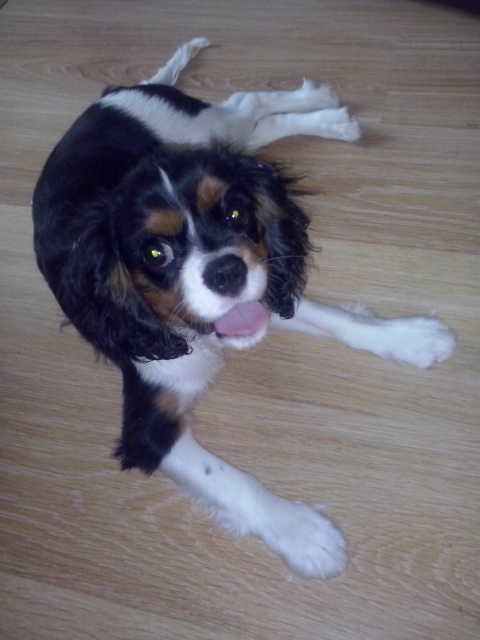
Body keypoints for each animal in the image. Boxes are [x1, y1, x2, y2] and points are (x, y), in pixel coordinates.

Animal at [32, 39, 456, 579]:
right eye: (155, 253)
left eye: (236, 213)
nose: (227, 273)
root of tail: (109, 96)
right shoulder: (146, 431)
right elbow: (231, 479)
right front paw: (305, 533)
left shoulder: (263, 285)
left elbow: (339, 320)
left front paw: (411, 338)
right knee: (249, 120)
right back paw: (332, 116)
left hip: (200, 129)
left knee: (245, 105)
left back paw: (323, 107)